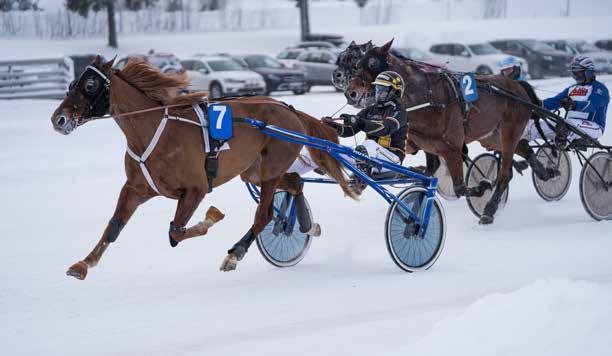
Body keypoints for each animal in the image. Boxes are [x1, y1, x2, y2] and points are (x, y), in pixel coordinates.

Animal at [50, 56, 356, 278]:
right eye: (73, 82)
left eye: (91, 85)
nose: (58, 119)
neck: (155, 131)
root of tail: (290, 110)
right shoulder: (136, 188)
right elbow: (114, 227)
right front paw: (83, 264)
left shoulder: (195, 189)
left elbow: (176, 232)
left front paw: (212, 217)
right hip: (254, 171)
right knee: (294, 183)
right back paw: (306, 225)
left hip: (270, 169)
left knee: (265, 214)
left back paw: (235, 253)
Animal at [344, 41, 536, 222]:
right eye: (357, 65)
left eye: (373, 64)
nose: (350, 93)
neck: (427, 98)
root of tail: (517, 86)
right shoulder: (424, 143)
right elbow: (428, 170)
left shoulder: (452, 148)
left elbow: (459, 187)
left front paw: (482, 187)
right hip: (491, 136)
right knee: (522, 150)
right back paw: (540, 169)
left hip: (510, 131)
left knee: (504, 173)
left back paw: (489, 210)